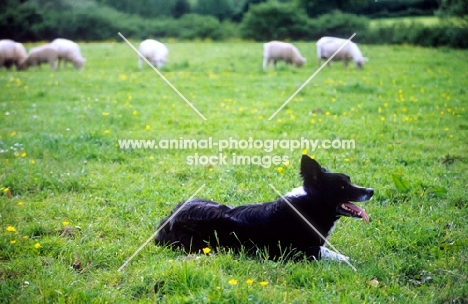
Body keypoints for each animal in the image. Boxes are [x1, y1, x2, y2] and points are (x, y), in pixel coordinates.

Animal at [155, 156, 374, 262]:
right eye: (342, 187)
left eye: (349, 180)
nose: (371, 191)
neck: (310, 205)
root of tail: (167, 220)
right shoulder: (296, 251)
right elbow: (332, 254)